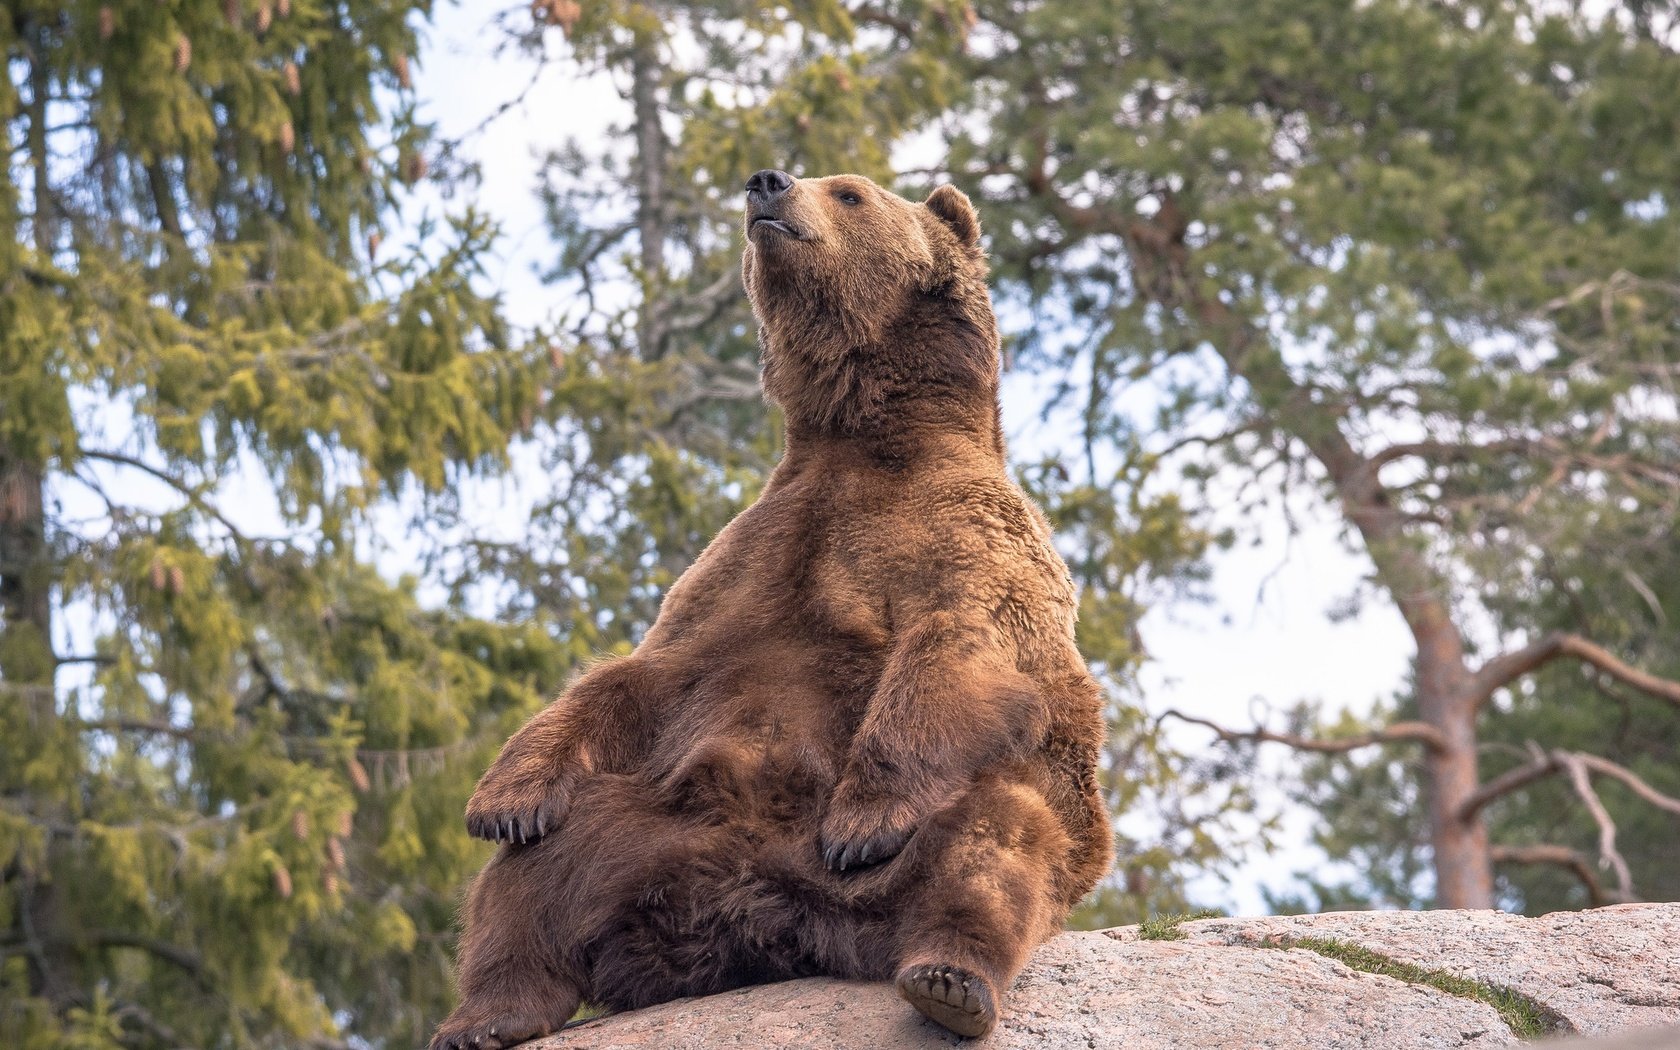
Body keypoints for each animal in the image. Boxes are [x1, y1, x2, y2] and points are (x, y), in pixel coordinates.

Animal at [430, 168, 1115, 1041]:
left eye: (850, 192)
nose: (767, 183)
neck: (862, 430)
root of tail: (762, 921)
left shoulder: (968, 537)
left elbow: (959, 652)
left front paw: (862, 823)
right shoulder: (755, 549)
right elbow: (642, 672)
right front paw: (503, 800)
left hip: (972, 835)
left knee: (996, 838)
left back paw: (950, 978)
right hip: (634, 829)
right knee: (528, 881)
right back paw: (487, 1014)